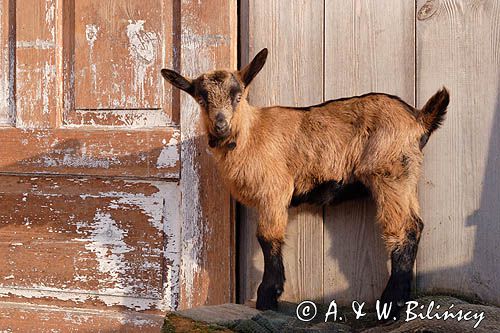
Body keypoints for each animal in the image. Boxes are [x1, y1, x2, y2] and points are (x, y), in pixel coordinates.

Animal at [162, 48, 452, 314]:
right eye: (201, 98)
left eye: (238, 95)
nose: (220, 126)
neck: (250, 133)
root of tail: (418, 118)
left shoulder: (275, 190)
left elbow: (267, 237)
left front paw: (268, 297)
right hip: (405, 176)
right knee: (416, 224)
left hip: (389, 173)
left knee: (404, 228)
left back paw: (391, 303)